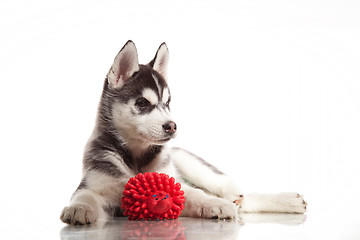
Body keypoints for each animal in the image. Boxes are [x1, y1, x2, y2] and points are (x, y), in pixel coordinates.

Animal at [59, 40, 306, 225]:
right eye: (142, 103)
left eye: (168, 103)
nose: (172, 125)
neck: (136, 156)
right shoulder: (94, 184)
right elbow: (85, 196)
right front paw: (79, 209)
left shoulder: (173, 182)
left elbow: (196, 195)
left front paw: (216, 205)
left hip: (187, 161)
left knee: (232, 191)